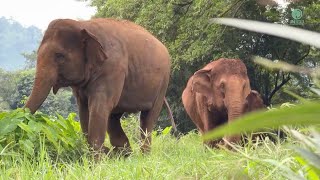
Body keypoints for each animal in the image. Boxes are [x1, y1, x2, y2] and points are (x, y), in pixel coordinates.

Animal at [24, 17, 172, 153]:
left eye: (60, 56)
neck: (83, 25)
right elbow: (84, 109)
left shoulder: (113, 68)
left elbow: (100, 106)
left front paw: (96, 161)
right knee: (113, 117)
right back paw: (125, 154)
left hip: (163, 83)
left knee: (147, 118)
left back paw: (143, 155)